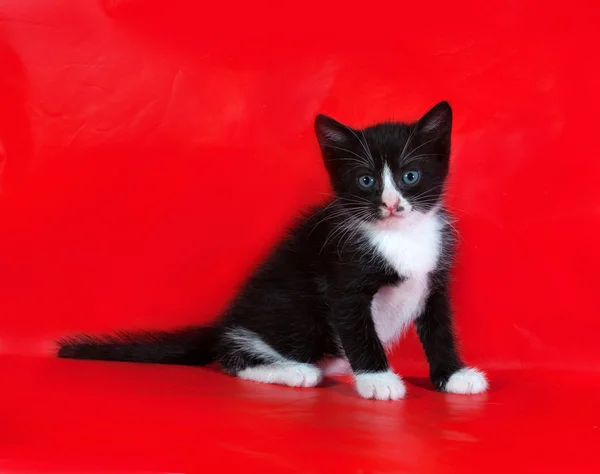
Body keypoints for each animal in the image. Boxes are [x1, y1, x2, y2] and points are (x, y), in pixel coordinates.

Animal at [57, 101, 488, 400]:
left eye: (410, 176)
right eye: (365, 180)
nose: (392, 204)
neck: (402, 235)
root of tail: (226, 320)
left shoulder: (433, 279)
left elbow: (440, 328)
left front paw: (453, 375)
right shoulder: (344, 278)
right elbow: (358, 328)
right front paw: (378, 380)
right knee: (234, 355)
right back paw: (295, 371)